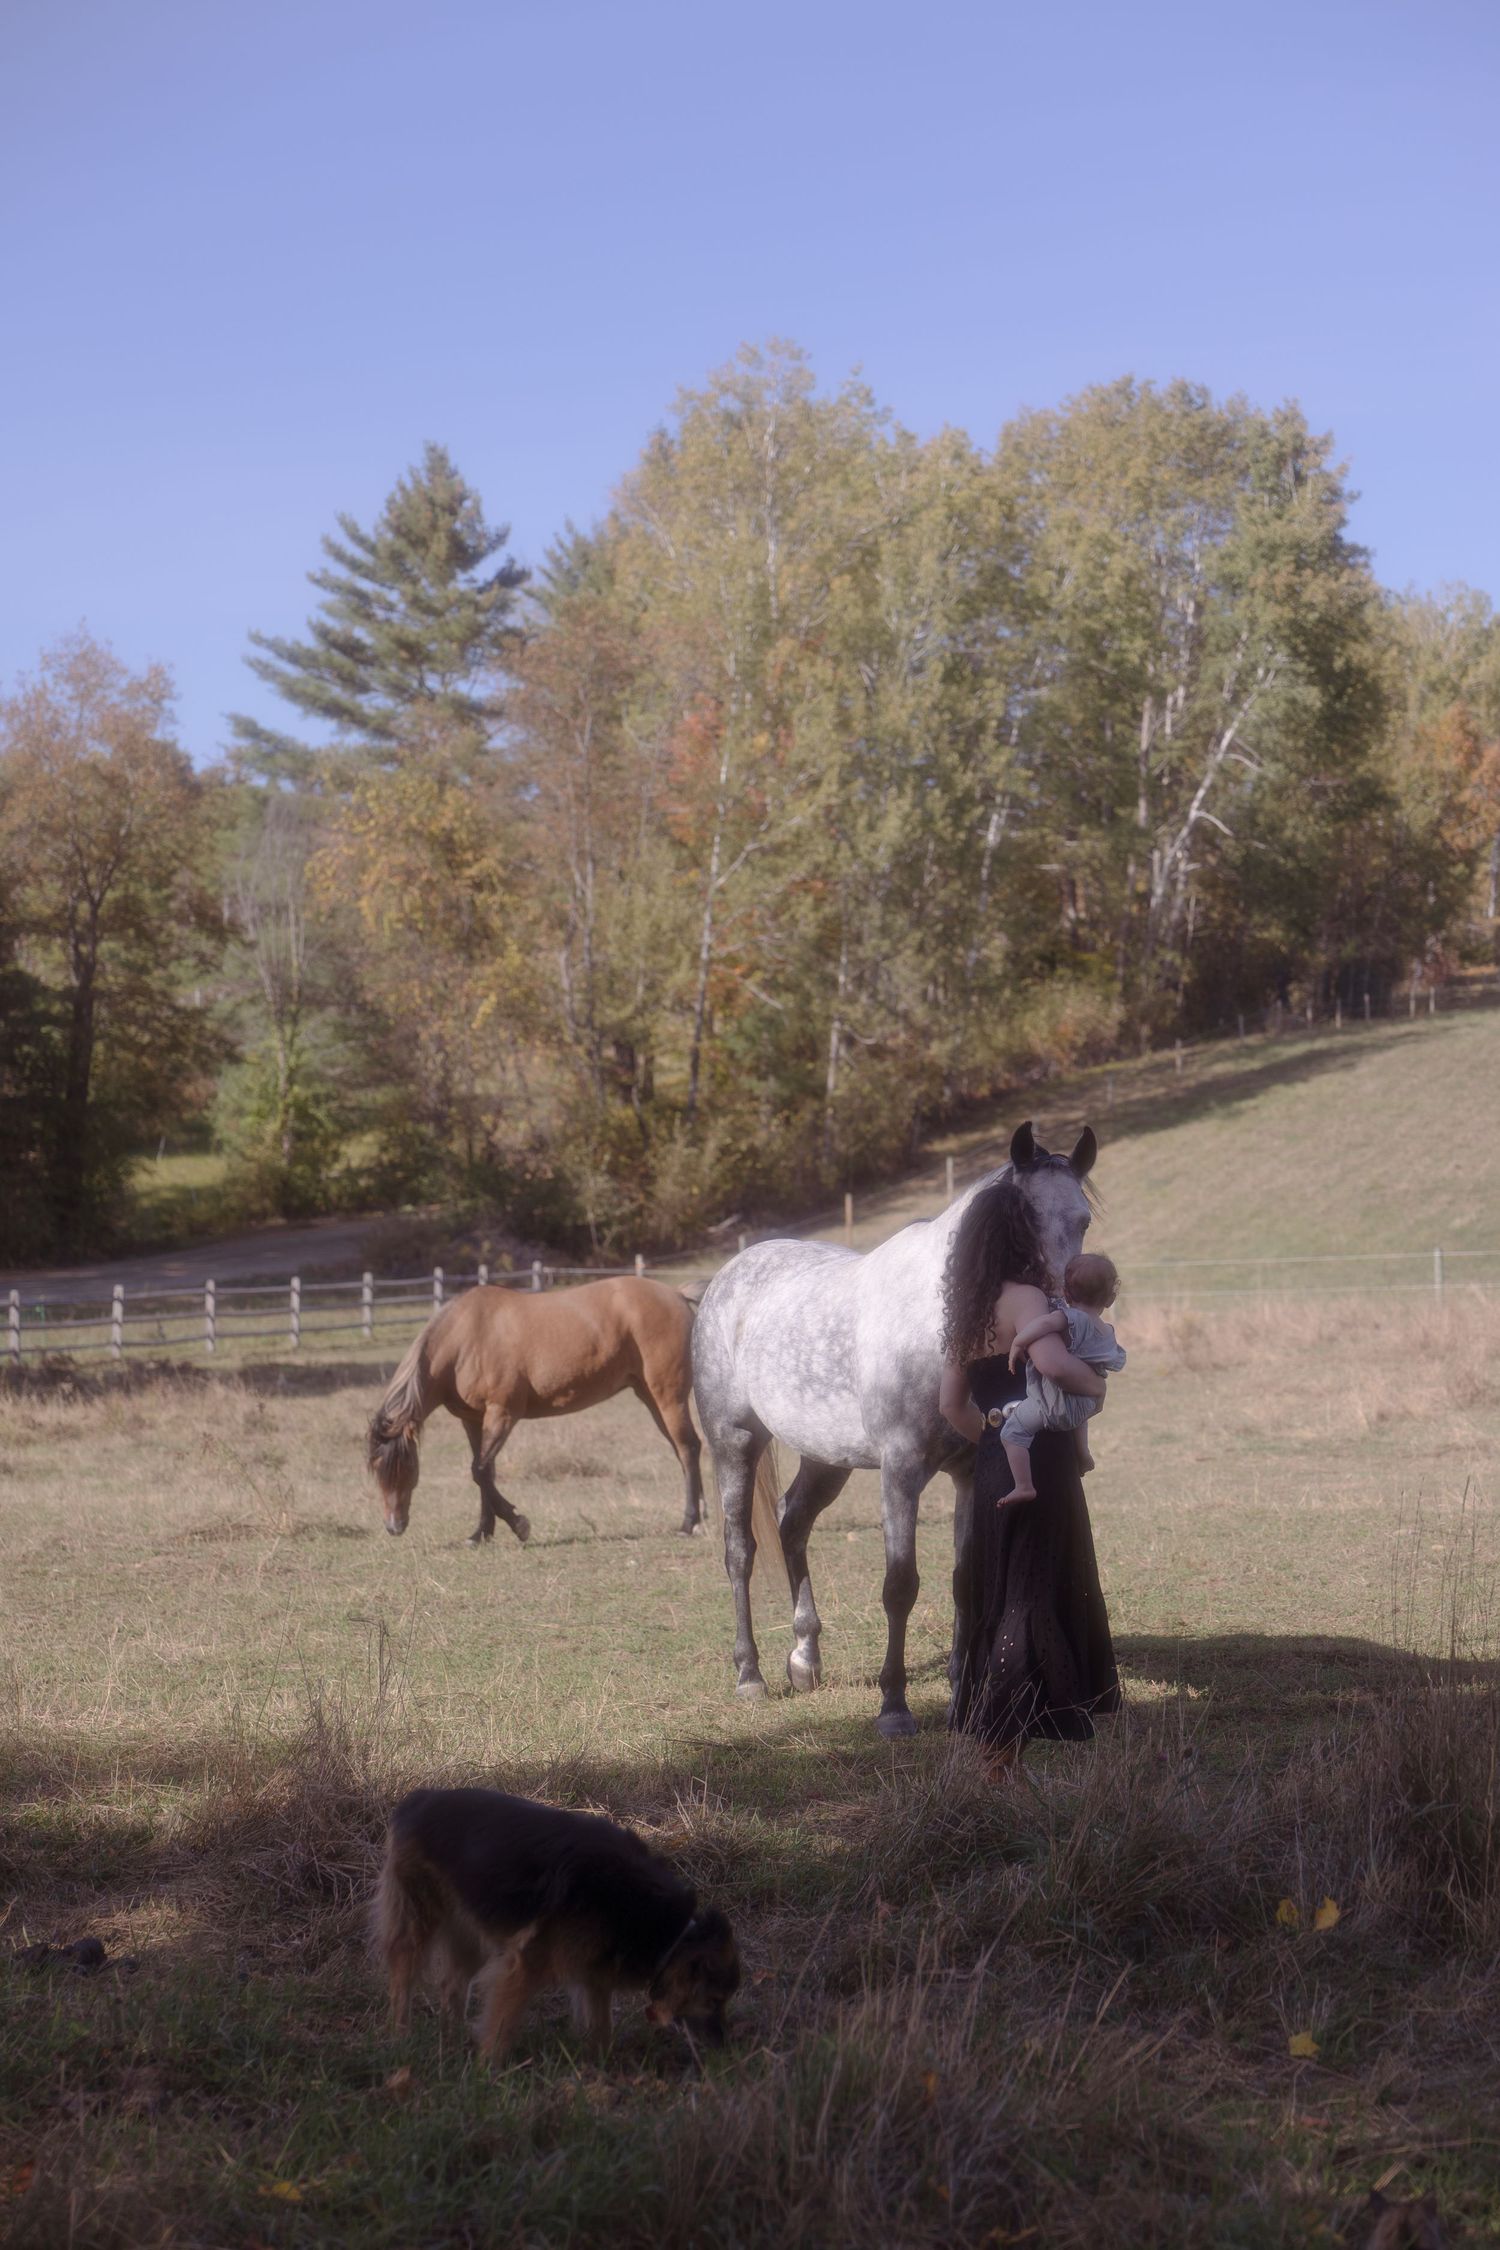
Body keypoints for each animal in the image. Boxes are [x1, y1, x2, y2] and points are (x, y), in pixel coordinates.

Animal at [367, 1277, 705, 1544]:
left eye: (408, 1468)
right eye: (376, 1470)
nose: (393, 1526)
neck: (465, 1340)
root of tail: (675, 1293)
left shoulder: (503, 1414)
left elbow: (480, 1471)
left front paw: (519, 1525)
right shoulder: (473, 1421)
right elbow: (484, 1473)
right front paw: (481, 1533)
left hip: (667, 1397)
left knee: (688, 1448)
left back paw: (689, 1523)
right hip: (650, 1397)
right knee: (685, 1450)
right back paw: (703, 1517)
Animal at [691, 1121, 1096, 1736]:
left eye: (1083, 1219)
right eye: (1021, 1220)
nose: (1057, 1313)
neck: (937, 1328)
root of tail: (723, 1280)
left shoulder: (969, 1476)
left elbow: (964, 1581)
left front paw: (960, 1693)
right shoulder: (901, 1472)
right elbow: (900, 1585)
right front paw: (894, 1705)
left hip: (824, 1458)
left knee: (792, 1523)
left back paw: (804, 1660)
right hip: (733, 1441)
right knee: (740, 1549)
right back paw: (750, 1675)